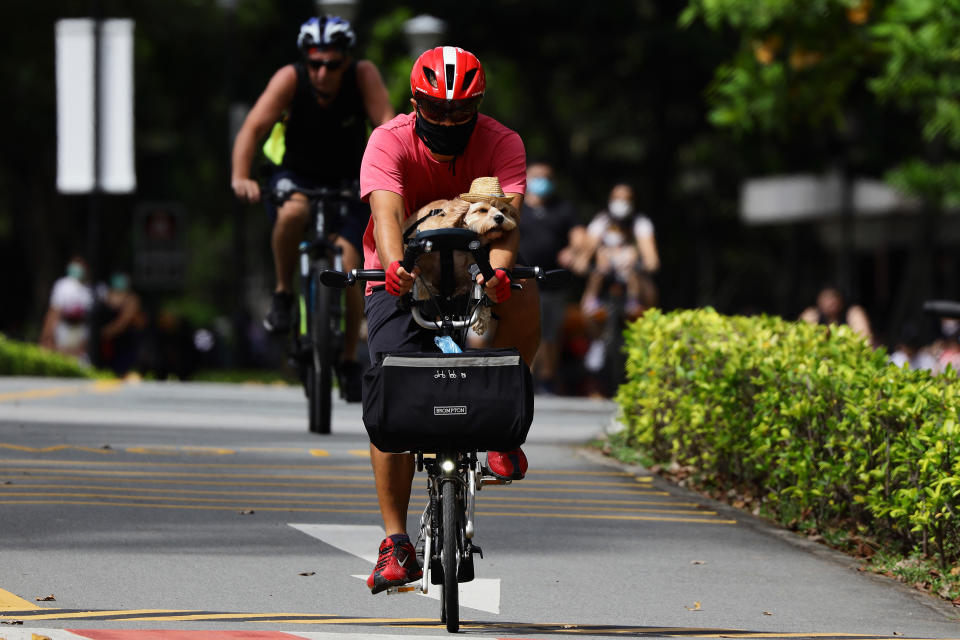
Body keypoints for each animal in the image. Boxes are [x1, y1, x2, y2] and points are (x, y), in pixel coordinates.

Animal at [400, 198, 516, 336]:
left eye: (503, 210)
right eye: (482, 210)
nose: (500, 217)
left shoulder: (472, 272)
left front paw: (481, 319)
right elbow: (420, 281)